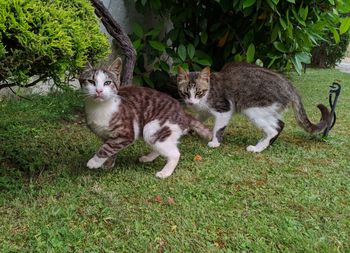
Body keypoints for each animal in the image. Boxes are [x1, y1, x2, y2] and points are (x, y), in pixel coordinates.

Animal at [78, 58, 212, 179]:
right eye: (91, 81)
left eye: (107, 82)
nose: (99, 90)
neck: (99, 108)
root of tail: (183, 113)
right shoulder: (107, 136)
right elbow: (111, 147)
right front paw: (108, 164)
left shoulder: (127, 133)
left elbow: (107, 148)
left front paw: (94, 162)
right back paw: (148, 158)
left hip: (154, 128)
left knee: (175, 153)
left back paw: (165, 173)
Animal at [178, 62, 330, 152]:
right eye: (185, 93)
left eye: (199, 92)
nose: (191, 102)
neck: (209, 91)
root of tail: (289, 86)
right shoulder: (204, 111)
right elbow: (197, 119)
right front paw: (188, 129)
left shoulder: (224, 109)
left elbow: (218, 128)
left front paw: (215, 142)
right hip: (268, 110)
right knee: (280, 124)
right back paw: (266, 143)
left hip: (253, 109)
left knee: (272, 129)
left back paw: (258, 148)